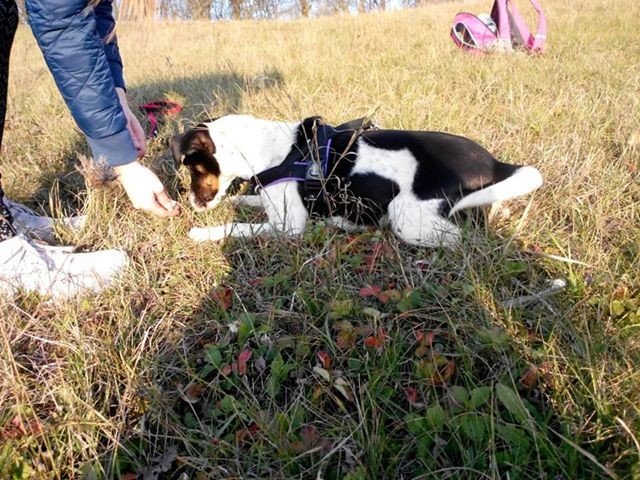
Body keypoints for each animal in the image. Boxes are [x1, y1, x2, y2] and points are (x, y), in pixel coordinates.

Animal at [171, 114, 543, 247]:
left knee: (461, 237)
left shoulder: (288, 227)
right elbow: (250, 201)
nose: (190, 204)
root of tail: (493, 162)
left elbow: (238, 227)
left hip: (406, 217)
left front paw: (203, 233)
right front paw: (240, 199)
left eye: (193, 168)